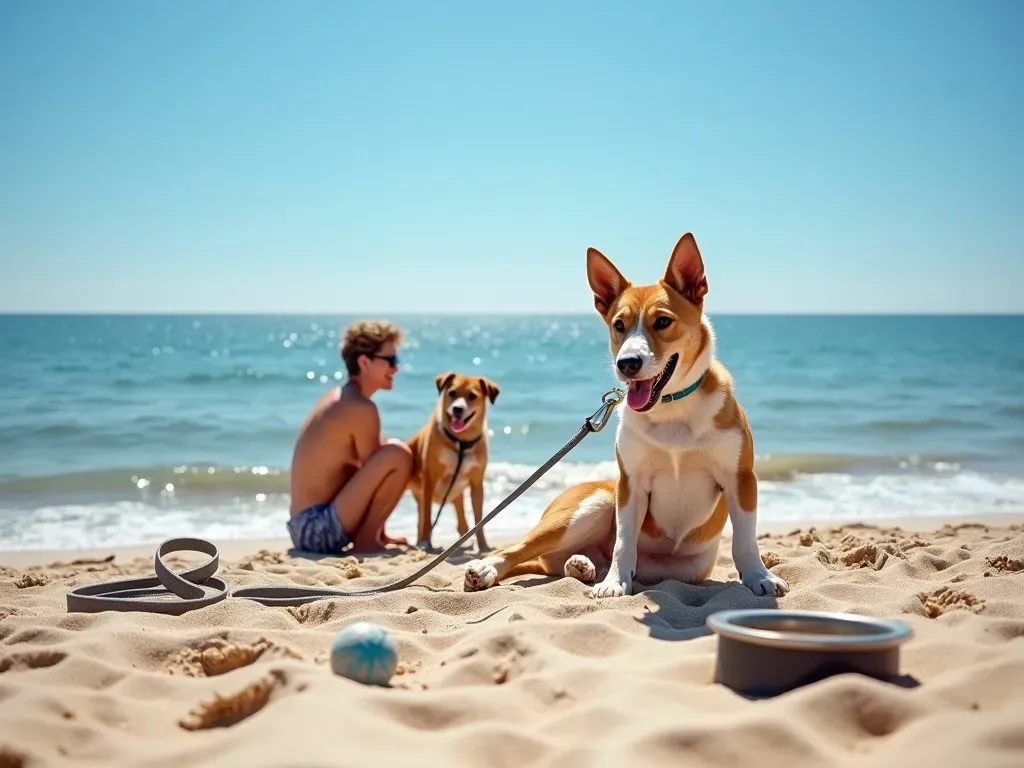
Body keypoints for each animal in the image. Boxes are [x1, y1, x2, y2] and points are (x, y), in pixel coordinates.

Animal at [409, 372, 501, 552]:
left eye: (472, 396)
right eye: (452, 393)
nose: (457, 409)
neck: (461, 443)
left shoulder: (476, 483)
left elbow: (479, 519)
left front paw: (483, 546)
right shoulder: (429, 479)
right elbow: (427, 516)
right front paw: (425, 542)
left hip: (457, 493)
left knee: (461, 519)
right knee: (423, 518)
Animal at [464, 234, 790, 602]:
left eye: (662, 321)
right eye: (618, 325)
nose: (627, 364)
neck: (671, 407)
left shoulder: (740, 477)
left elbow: (746, 539)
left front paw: (759, 577)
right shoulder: (630, 482)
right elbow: (624, 541)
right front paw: (615, 582)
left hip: (683, 567)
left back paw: (581, 565)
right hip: (596, 503)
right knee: (519, 549)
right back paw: (489, 569)